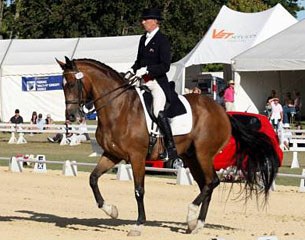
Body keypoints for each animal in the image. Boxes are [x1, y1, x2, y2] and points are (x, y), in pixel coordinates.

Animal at [55, 56, 280, 236]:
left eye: (73, 84)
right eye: (62, 85)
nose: (72, 116)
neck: (118, 108)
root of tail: (222, 111)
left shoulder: (137, 157)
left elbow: (139, 190)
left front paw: (138, 225)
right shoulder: (112, 154)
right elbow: (93, 179)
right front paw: (111, 210)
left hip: (203, 154)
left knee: (212, 182)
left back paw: (192, 216)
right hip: (191, 157)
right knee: (206, 185)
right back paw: (195, 224)